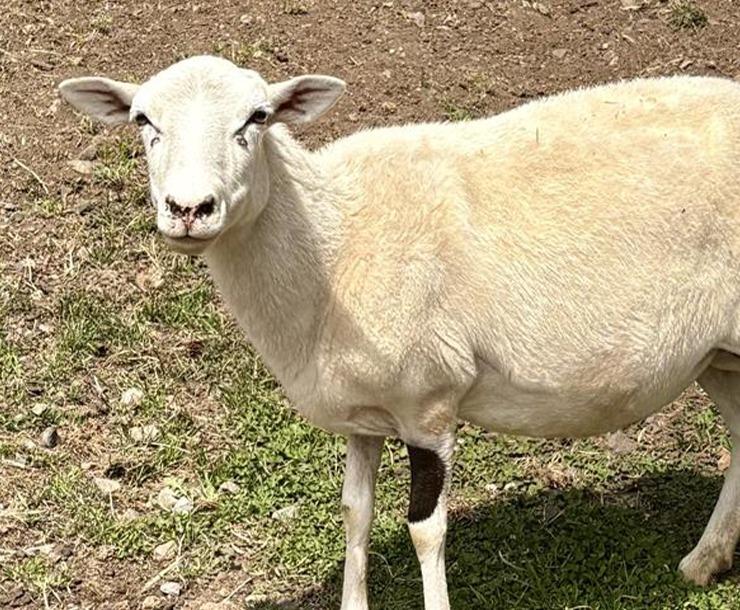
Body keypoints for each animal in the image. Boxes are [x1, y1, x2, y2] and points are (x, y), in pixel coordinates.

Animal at [58, 55, 740, 609]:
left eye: (258, 116)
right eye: (143, 120)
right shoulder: (364, 416)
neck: (332, 241)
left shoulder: (428, 402)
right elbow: (354, 515)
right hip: (718, 355)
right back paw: (705, 562)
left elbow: (425, 529)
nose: (188, 209)